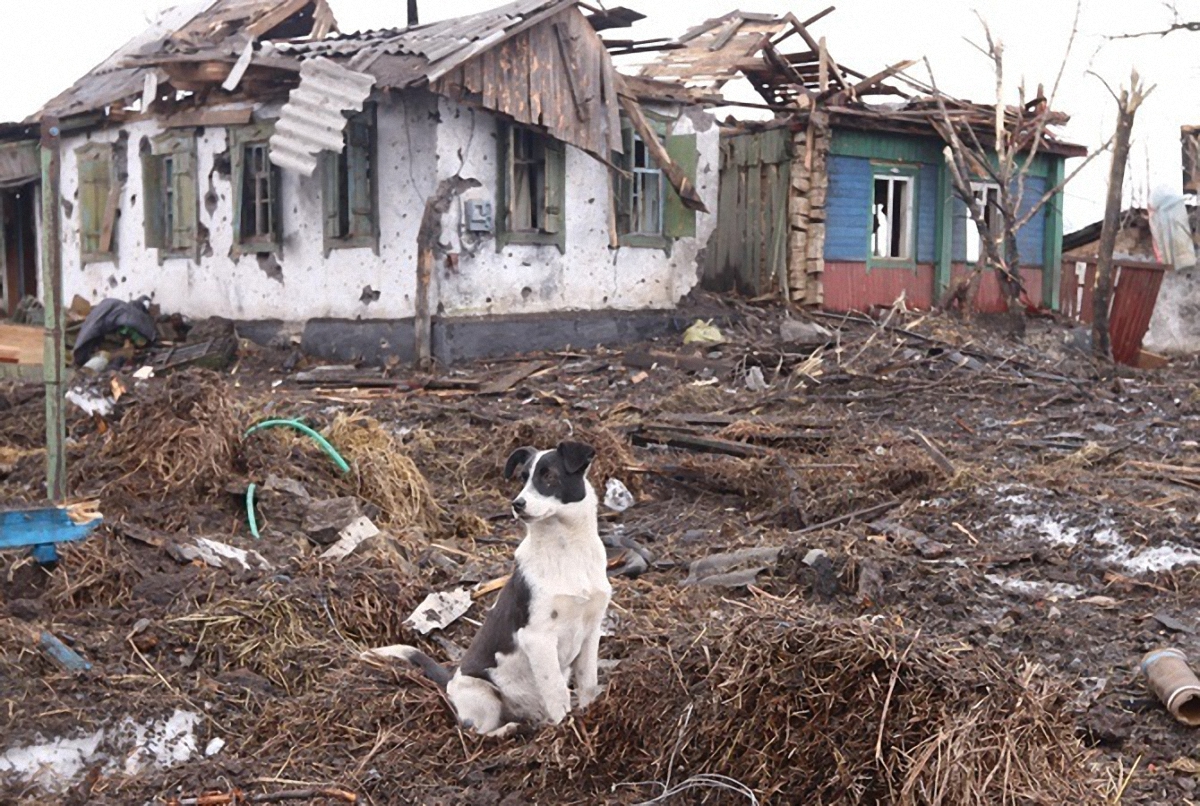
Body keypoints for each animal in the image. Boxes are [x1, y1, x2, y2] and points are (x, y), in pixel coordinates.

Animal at [362, 441, 609, 738]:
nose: (517, 504)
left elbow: (588, 683)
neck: (566, 550)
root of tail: (452, 678)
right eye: (522, 478)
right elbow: (557, 691)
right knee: (476, 733)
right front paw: (566, 728)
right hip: (482, 696)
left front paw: (588, 717)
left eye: (549, 476)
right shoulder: (537, 637)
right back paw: (510, 729)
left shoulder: (591, 631)